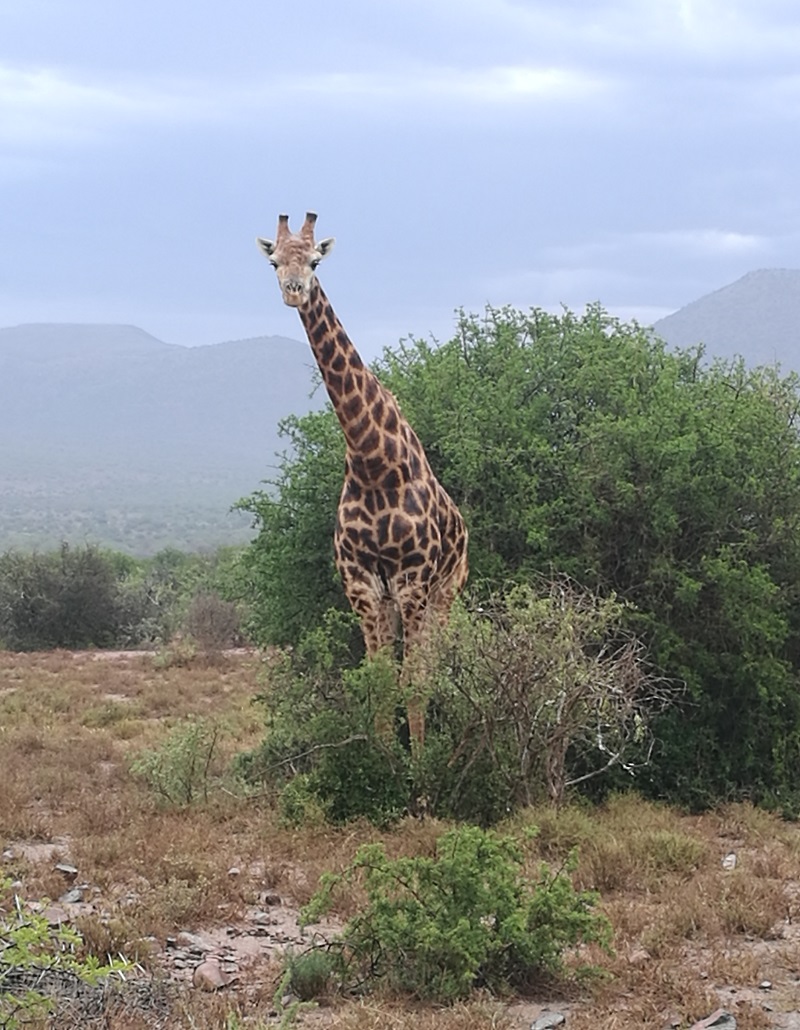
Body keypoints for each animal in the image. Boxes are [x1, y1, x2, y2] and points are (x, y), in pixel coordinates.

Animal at [256, 212, 468, 751]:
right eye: (274, 262)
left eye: (314, 261)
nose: (294, 290)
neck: (373, 464)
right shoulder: (361, 585)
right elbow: (378, 682)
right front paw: (383, 761)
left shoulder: (414, 581)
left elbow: (412, 682)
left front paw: (419, 769)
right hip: (397, 600)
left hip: (446, 591)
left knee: (435, 668)